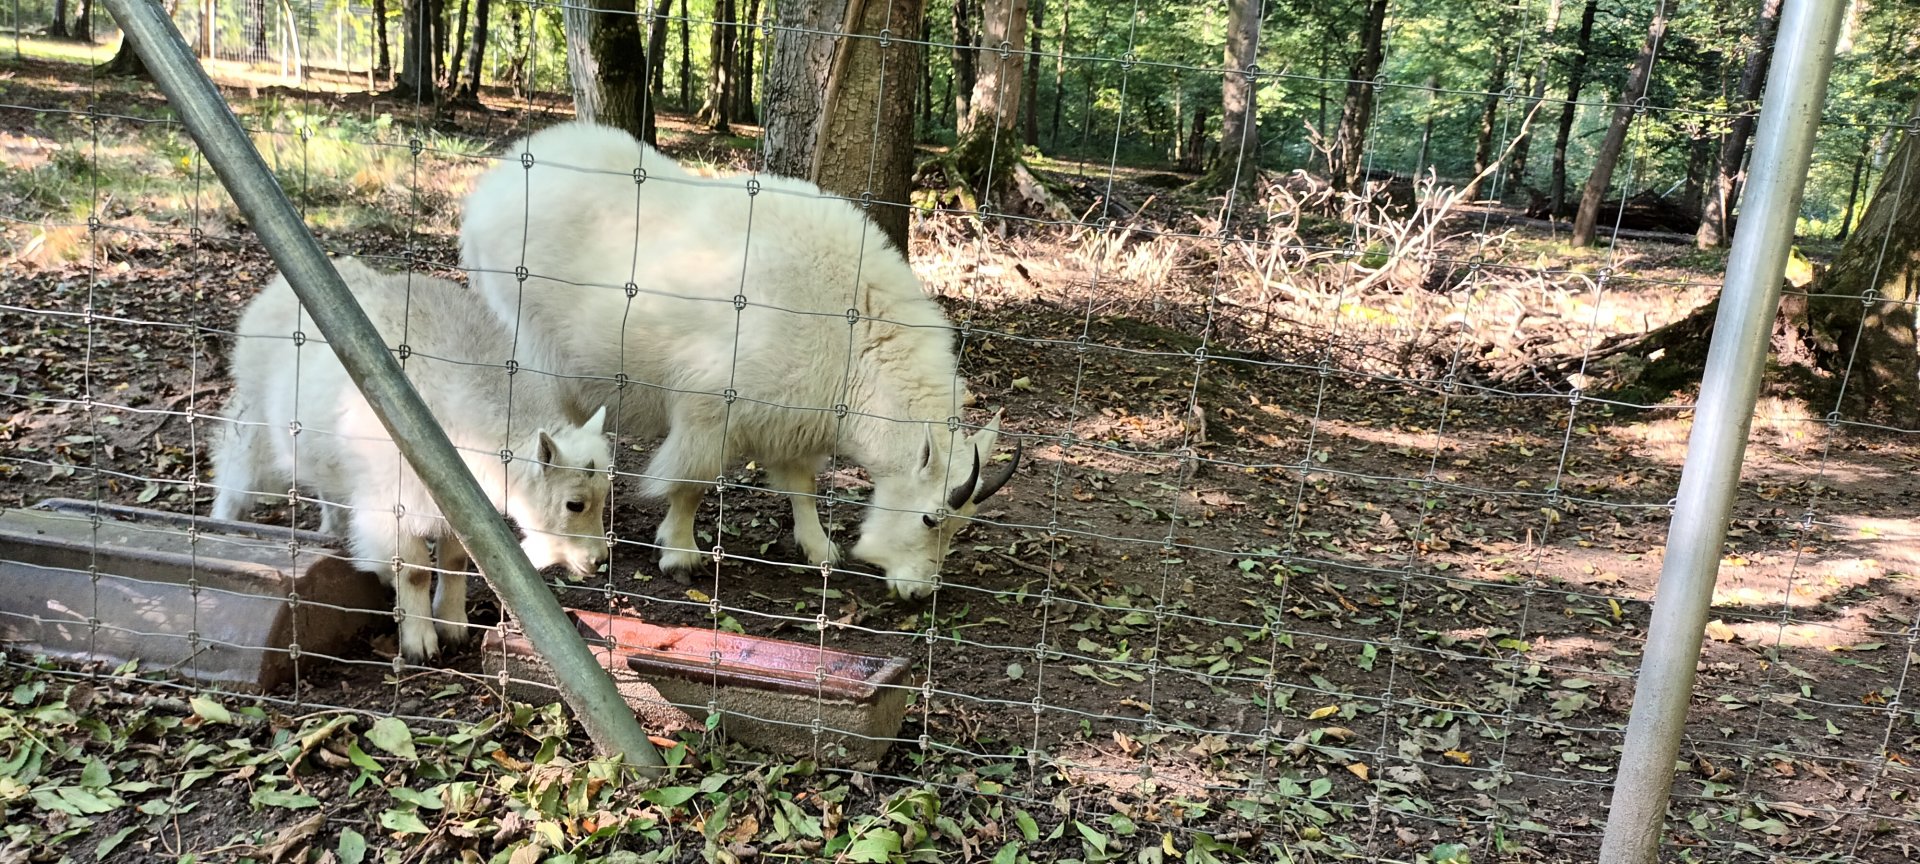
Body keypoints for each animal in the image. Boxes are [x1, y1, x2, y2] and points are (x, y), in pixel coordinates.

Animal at [209, 256, 613, 660]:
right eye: (574, 503)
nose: (598, 560)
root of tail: (271, 291)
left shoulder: (460, 509)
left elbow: (453, 562)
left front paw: (453, 627)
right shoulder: (396, 503)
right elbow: (415, 570)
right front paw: (420, 642)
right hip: (255, 413)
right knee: (236, 467)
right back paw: (222, 528)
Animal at [458, 121, 1018, 600]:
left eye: (962, 524)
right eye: (929, 518)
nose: (918, 593)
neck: (853, 335)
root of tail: (489, 190)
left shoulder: (793, 418)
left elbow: (802, 487)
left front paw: (820, 549)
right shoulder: (708, 411)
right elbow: (691, 483)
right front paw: (680, 554)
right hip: (526, 342)